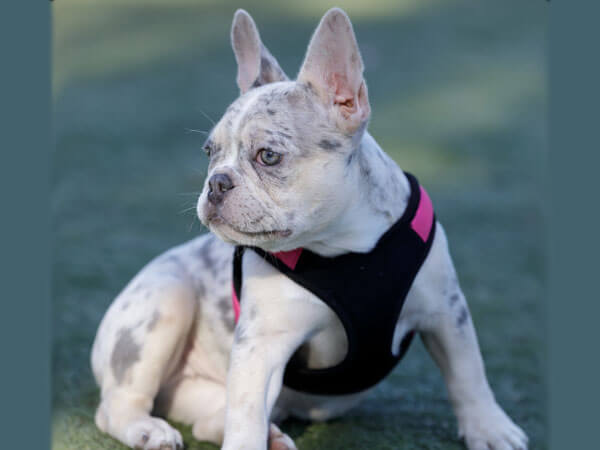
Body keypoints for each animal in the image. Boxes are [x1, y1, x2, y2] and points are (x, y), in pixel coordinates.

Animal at [91, 7, 528, 450]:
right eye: (209, 152)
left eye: (268, 156)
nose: (216, 183)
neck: (345, 245)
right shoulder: (261, 345)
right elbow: (245, 413)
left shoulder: (446, 311)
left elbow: (468, 373)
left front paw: (490, 428)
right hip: (166, 300)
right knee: (117, 406)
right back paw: (150, 430)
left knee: (210, 419)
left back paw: (270, 436)